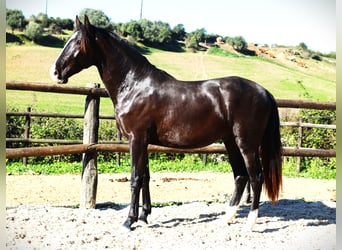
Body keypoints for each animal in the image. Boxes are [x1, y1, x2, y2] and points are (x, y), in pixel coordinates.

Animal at [50, 15, 280, 230]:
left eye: (78, 42)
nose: (55, 72)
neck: (135, 85)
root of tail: (264, 91)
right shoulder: (143, 142)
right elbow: (145, 177)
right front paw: (144, 217)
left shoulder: (136, 139)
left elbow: (135, 178)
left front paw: (129, 221)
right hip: (230, 142)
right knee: (240, 176)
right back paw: (225, 219)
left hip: (247, 145)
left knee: (256, 177)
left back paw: (249, 224)